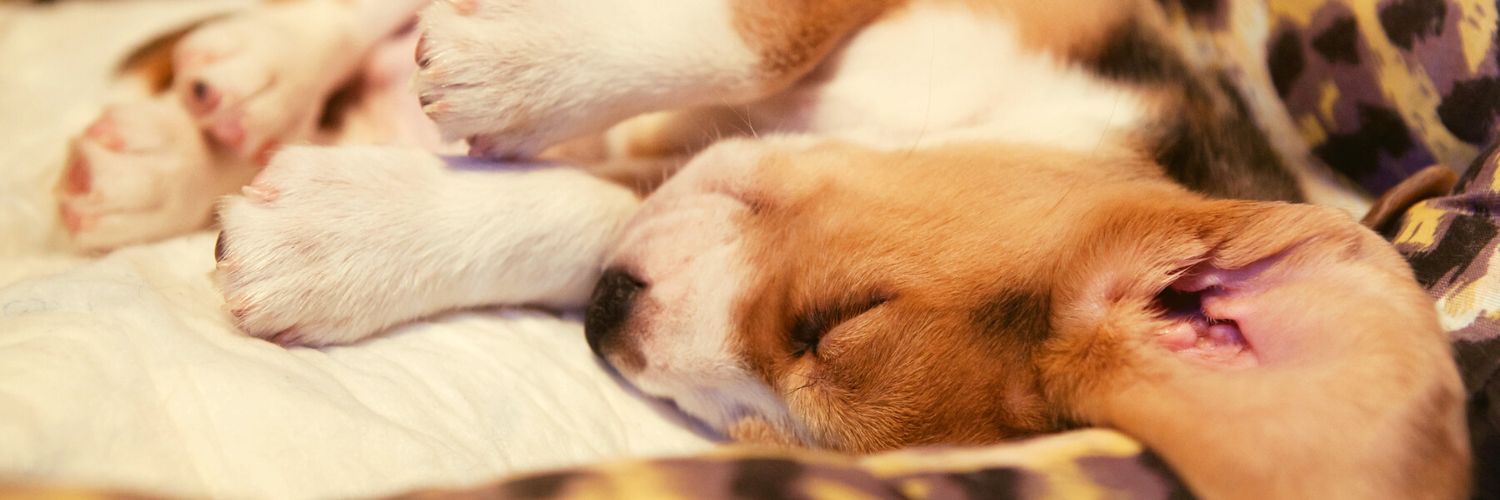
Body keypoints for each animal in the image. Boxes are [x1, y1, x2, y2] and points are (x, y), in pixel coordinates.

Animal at [206, 0, 1471, 497]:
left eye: (763, 430)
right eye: (846, 315)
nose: (609, 316)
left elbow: (593, 206)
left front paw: (337, 236)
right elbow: (765, 37)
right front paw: (521, 63)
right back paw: (252, 71)